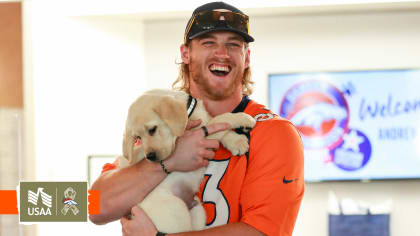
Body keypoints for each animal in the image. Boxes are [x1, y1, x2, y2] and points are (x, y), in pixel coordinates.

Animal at [119, 89, 256, 233]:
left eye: (152, 130)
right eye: (138, 138)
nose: (150, 157)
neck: (190, 115)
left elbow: (221, 126)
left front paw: (237, 142)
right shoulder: (200, 135)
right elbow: (220, 119)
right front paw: (243, 118)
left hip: (198, 210)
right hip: (176, 209)